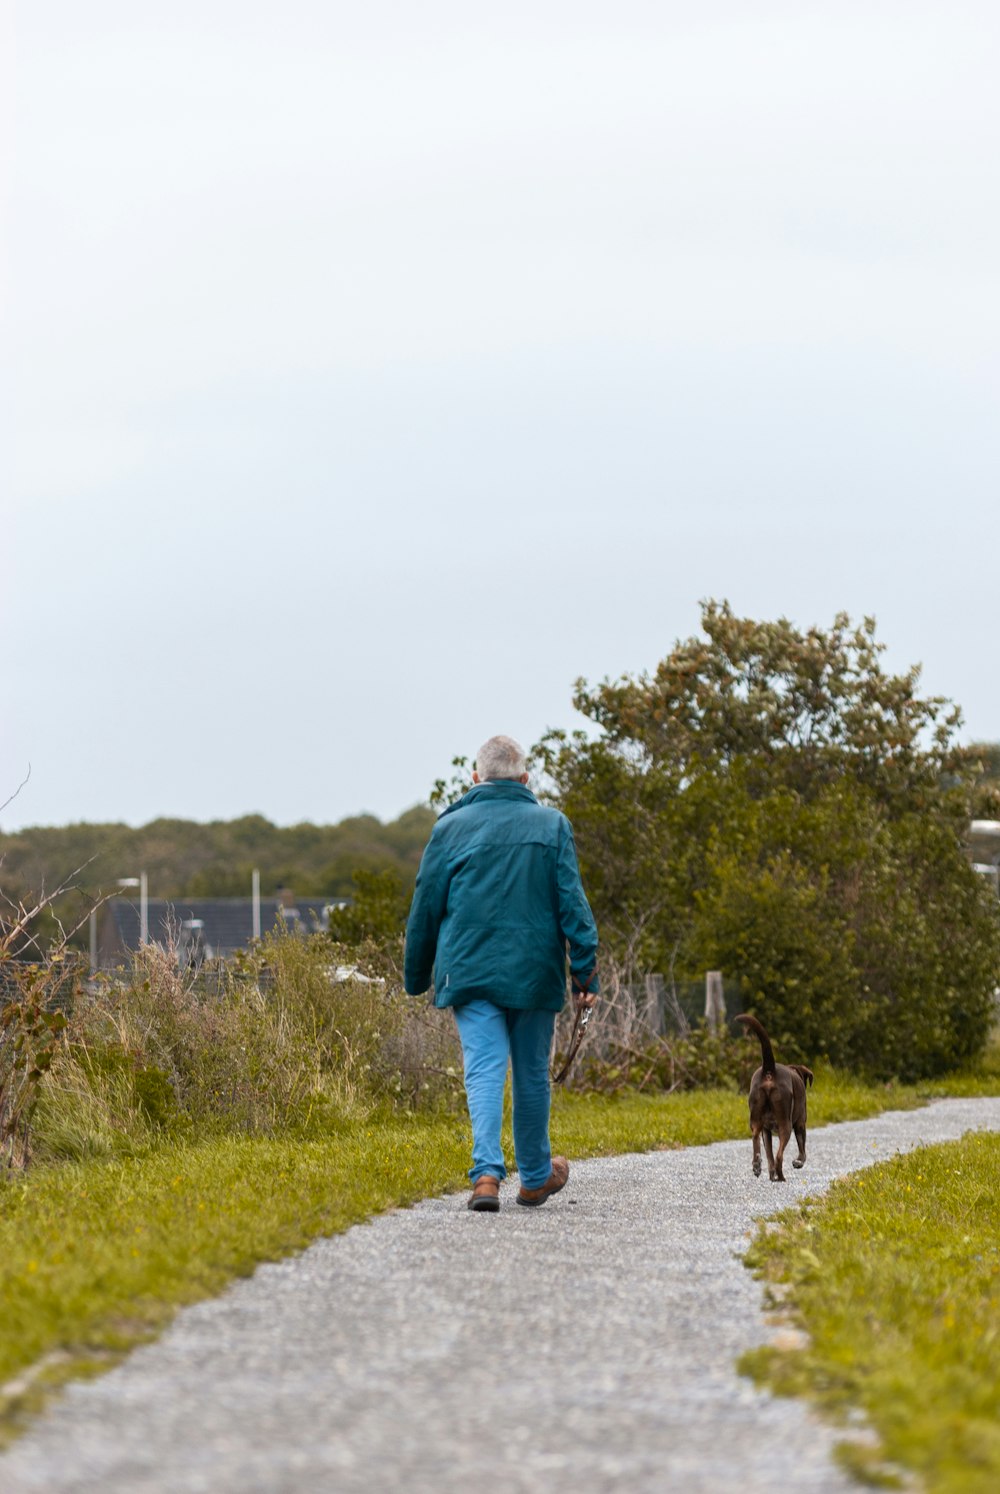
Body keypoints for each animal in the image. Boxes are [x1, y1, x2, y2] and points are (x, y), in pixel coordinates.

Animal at [732, 1009, 813, 1183]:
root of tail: (770, 1070)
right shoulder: (800, 1123)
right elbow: (802, 1151)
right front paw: (798, 1163)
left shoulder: (766, 1131)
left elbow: (768, 1155)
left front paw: (770, 1175)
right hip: (785, 1124)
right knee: (779, 1156)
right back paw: (781, 1177)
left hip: (756, 1119)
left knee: (757, 1140)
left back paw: (758, 1165)